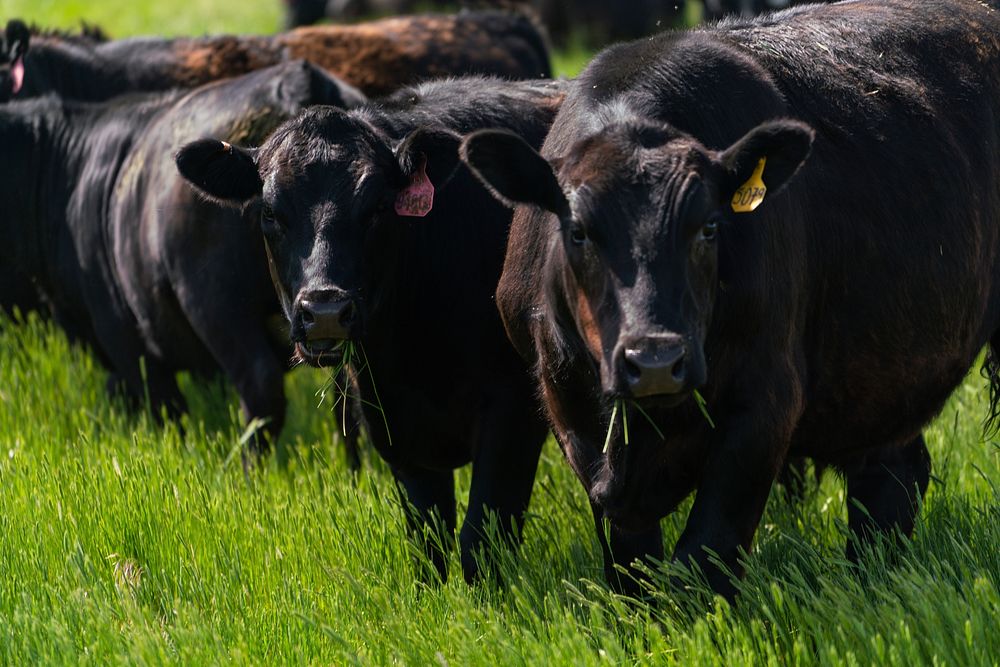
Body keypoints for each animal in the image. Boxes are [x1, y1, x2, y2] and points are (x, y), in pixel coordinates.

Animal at [464, 0, 1000, 600]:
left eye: (708, 227)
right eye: (578, 231)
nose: (655, 361)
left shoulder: (765, 398)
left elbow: (707, 549)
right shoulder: (565, 399)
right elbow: (630, 559)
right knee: (892, 472)